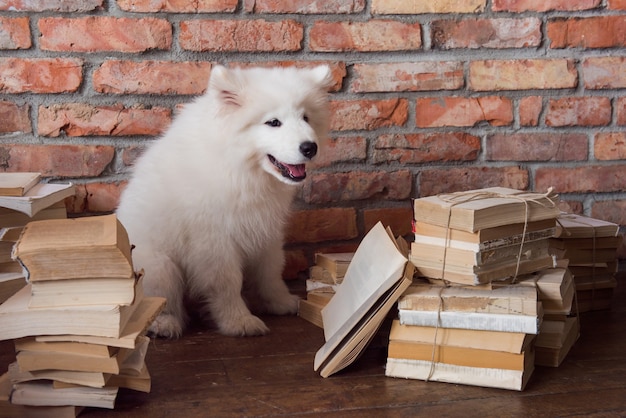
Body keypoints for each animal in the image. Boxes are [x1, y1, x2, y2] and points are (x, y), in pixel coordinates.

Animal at [116, 66, 332, 340]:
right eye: (273, 122)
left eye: (306, 118)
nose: (310, 147)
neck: (240, 167)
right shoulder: (215, 240)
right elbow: (227, 282)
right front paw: (239, 321)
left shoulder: (265, 230)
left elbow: (271, 271)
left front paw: (281, 302)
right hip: (159, 264)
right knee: (162, 298)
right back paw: (164, 324)